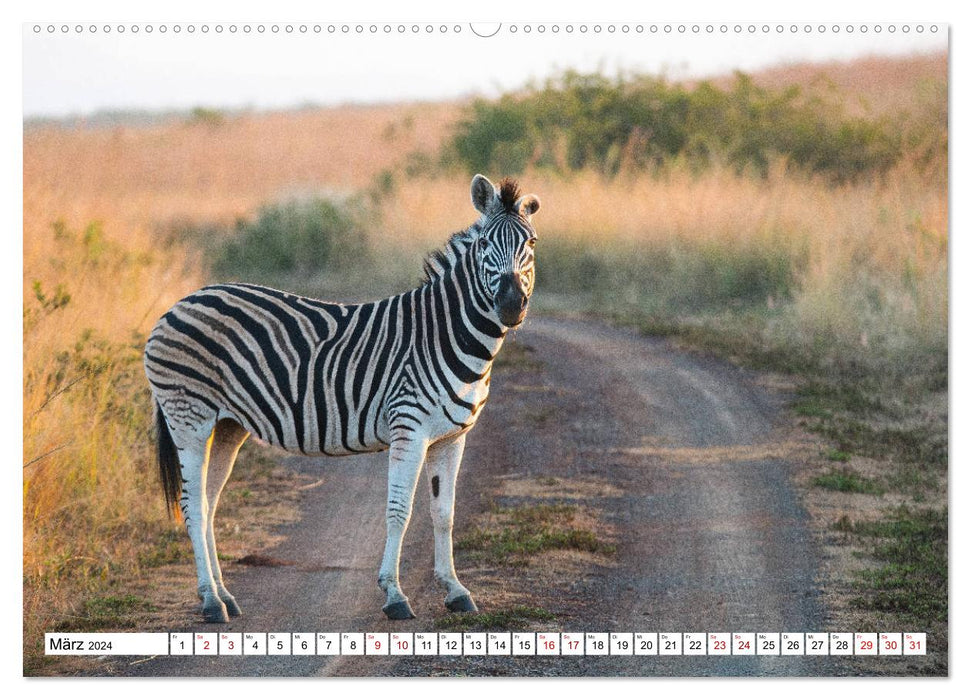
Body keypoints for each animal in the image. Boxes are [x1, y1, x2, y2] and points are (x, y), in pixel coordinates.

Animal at [144, 175, 544, 624]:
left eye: (531, 242)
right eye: (484, 244)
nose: (510, 305)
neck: (446, 333)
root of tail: (181, 302)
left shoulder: (452, 437)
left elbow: (444, 513)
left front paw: (456, 590)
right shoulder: (410, 429)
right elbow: (399, 512)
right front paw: (394, 594)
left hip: (228, 426)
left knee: (208, 503)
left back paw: (224, 596)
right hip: (189, 418)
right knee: (192, 506)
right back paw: (211, 602)